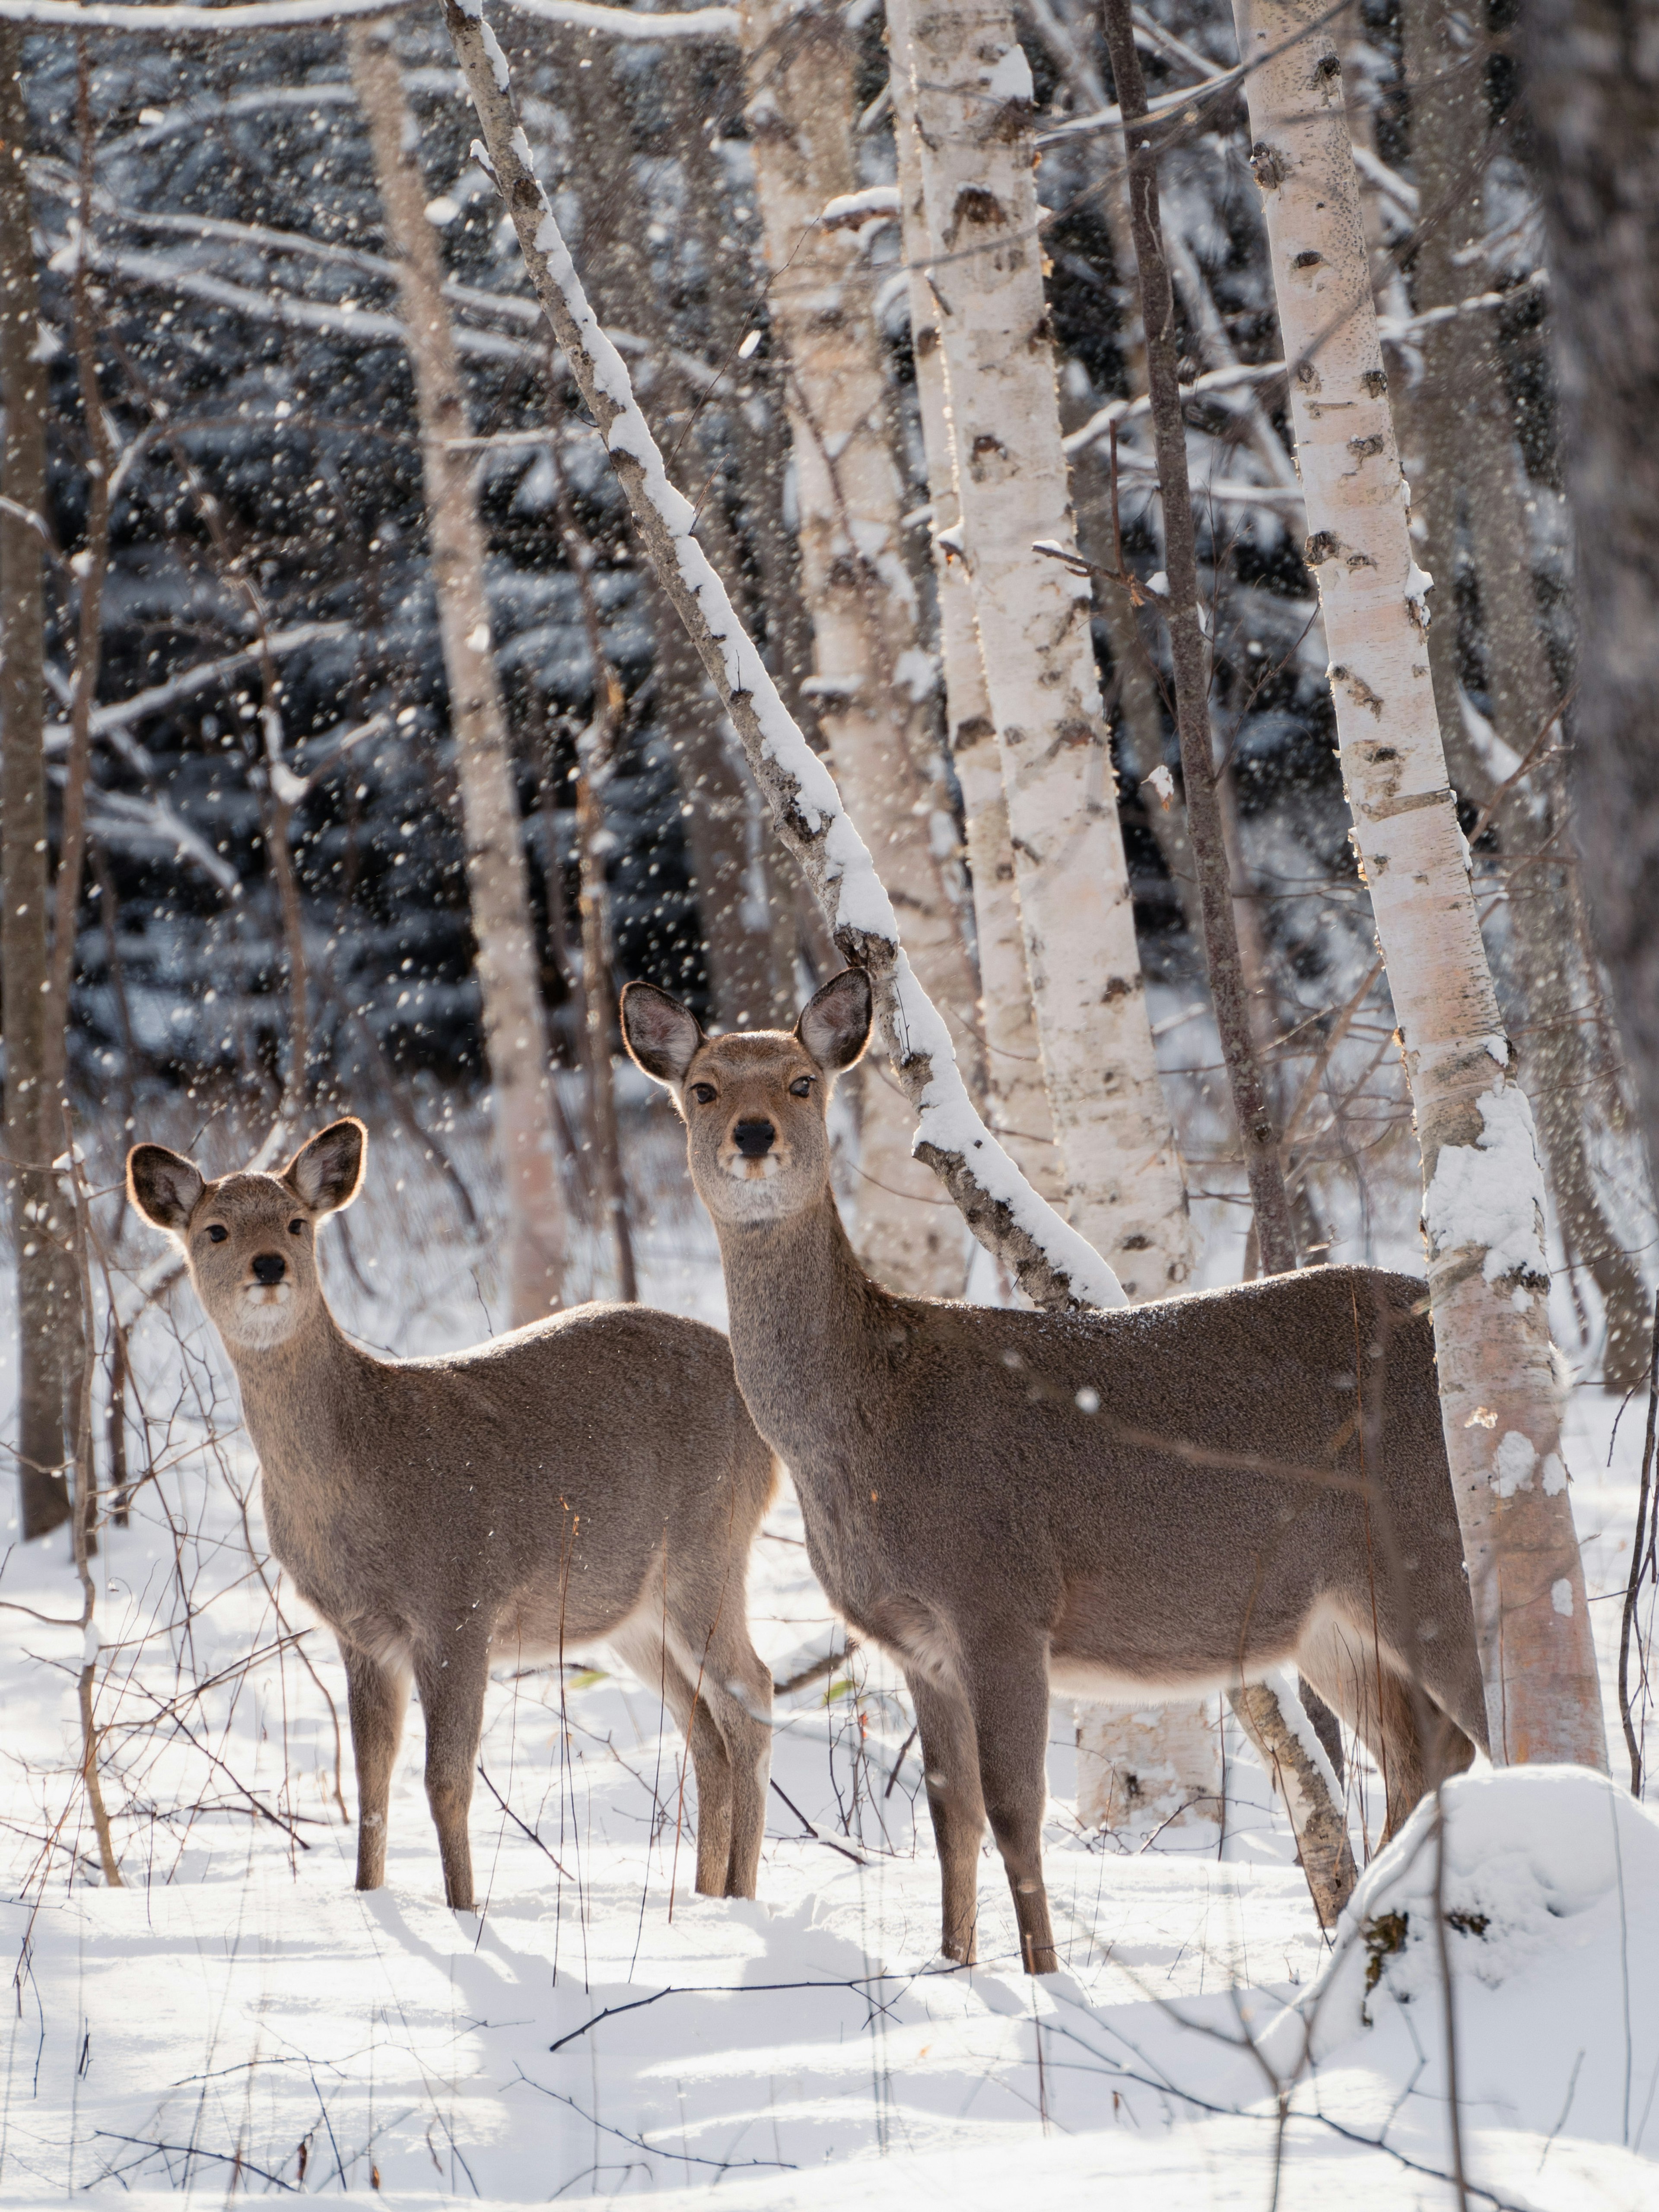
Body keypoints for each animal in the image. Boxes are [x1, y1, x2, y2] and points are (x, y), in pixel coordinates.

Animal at [130, 1123, 779, 1920]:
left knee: (752, 1696)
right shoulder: (362, 1634)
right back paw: (704, 1898)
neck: (362, 1471)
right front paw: (370, 1897)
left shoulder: (461, 1602)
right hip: (630, 1610)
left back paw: (741, 1897)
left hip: (709, 1544)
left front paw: (464, 1912)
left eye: (297, 1222)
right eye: (215, 1229)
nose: (270, 1264)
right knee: (706, 1731)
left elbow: (445, 1782)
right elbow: (372, 1783)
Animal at [623, 978, 1495, 1982]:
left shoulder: (1002, 1602)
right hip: (1332, 1620)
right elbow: (950, 1818)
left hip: (1437, 1554)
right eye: (703, 1088)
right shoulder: (916, 1638)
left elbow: (1015, 1810)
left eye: (803, 1081)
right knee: (1420, 1760)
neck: (875, 1414)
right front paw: (955, 1967)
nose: (755, 1132)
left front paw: (1045, 1978)